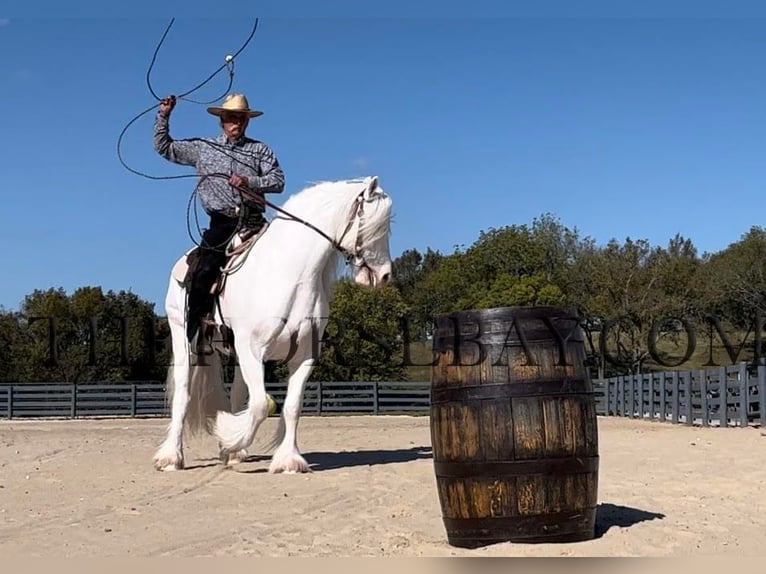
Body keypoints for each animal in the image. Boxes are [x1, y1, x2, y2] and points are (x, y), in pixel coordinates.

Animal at [156, 176, 396, 472]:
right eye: (375, 224)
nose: (385, 276)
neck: (288, 274)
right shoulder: (252, 351)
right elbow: (261, 404)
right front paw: (230, 436)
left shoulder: (303, 357)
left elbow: (291, 407)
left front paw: (287, 460)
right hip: (185, 339)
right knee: (183, 394)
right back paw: (171, 457)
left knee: (237, 394)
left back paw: (233, 453)